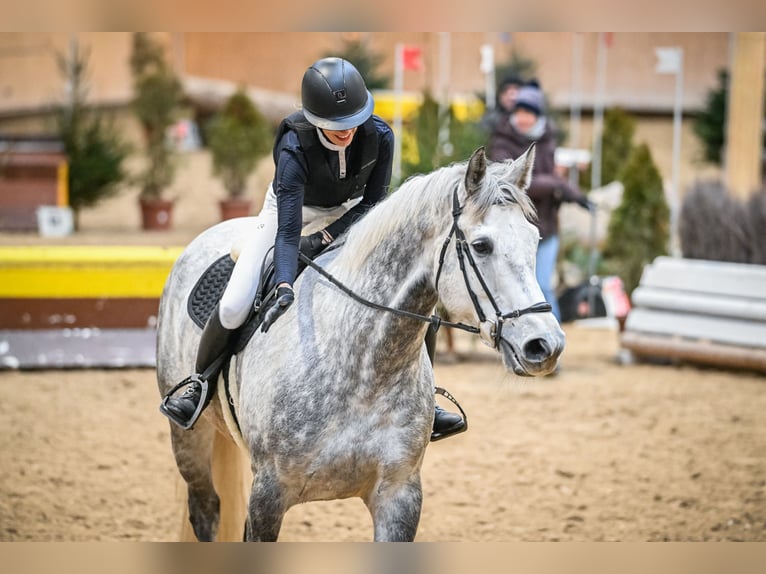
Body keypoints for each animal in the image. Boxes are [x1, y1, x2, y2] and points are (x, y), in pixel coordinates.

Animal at [156, 146, 565, 542]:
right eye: (481, 246)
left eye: (534, 240)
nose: (544, 345)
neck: (364, 368)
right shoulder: (268, 496)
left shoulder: (399, 497)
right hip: (190, 441)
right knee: (206, 511)